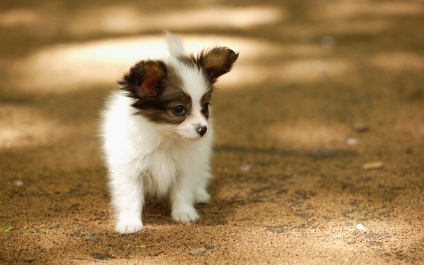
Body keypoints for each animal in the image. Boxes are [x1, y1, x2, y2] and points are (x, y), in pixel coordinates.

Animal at [100, 33, 238, 233]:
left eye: (205, 106)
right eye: (179, 109)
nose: (203, 129)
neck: (165, 137)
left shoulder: (187, 167)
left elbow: (183, 192)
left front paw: (184, 213)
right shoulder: (128, 170)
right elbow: (130, 198)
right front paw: (130, 222)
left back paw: (200, 193)